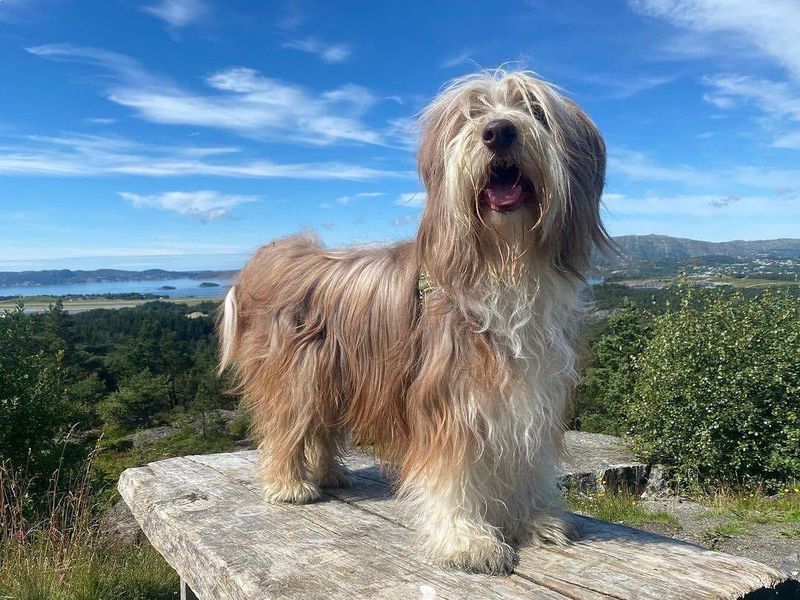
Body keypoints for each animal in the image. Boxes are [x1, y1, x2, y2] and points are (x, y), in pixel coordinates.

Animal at [216, 69, 608, 572]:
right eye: (470, 115)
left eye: (534, 109)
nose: (499, 131)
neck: (504, 264)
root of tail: (282, 257)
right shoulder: (449, 393)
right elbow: (452, 471)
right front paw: (466, 539)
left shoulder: (531, 392)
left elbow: (527, 459)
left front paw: (533, 519)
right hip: (297, 375)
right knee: (288, 423)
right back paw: (289, 485)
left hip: (332, 376)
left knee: (320, 428)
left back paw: (330, 475)